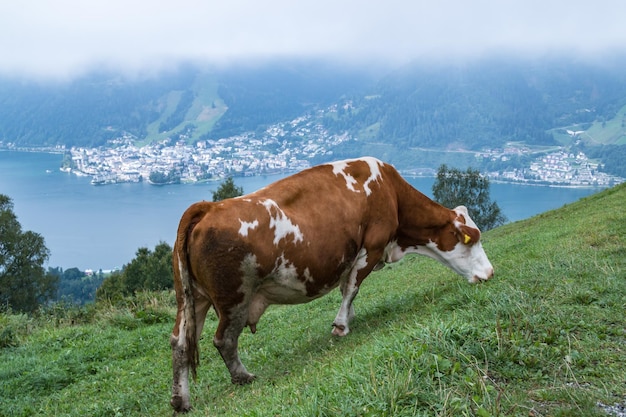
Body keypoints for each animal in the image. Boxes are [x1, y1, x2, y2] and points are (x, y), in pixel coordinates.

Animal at [169, 158, 492, 412]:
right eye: (472, 239)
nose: (489, 272)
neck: (390, 192)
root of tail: (207, 208)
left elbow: (347, 289)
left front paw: (349, 318)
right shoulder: (371, 246)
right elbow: (351, 288)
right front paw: (341, 325)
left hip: (192, 299)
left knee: (180, 343)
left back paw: (180, 400)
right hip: (234, 297)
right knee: (224, 339)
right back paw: (243, 377)